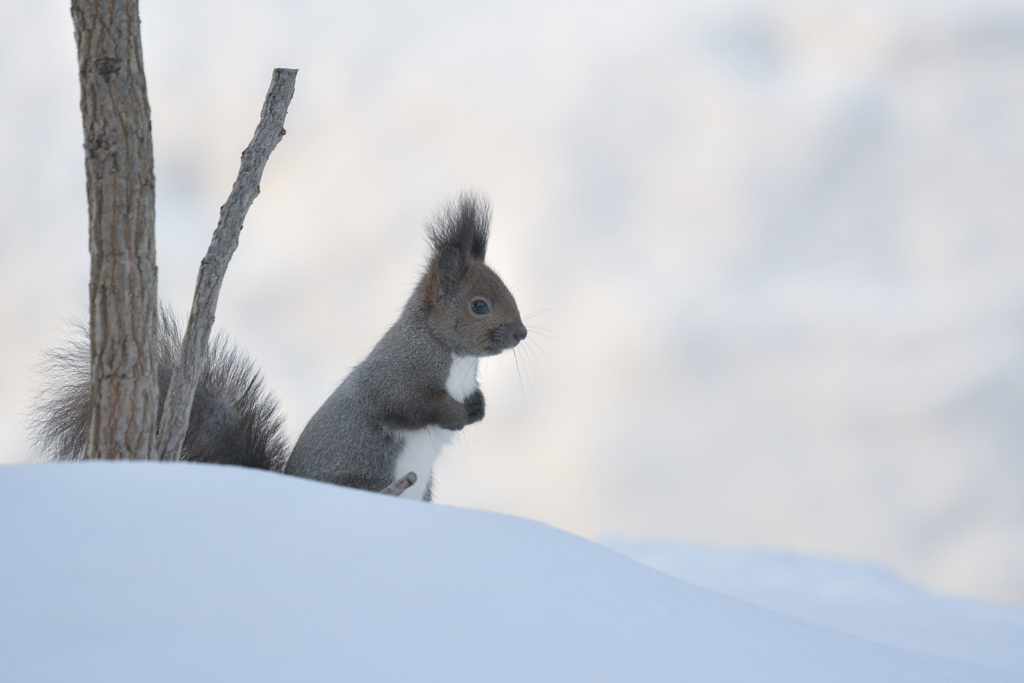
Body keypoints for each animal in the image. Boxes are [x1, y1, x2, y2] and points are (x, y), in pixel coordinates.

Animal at [32, 192, 528, 501]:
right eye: (479, 305)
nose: (521, 333)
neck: (455, 356)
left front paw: (478, 407)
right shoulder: (397, 373)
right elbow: (408, 404)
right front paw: (456, 413)